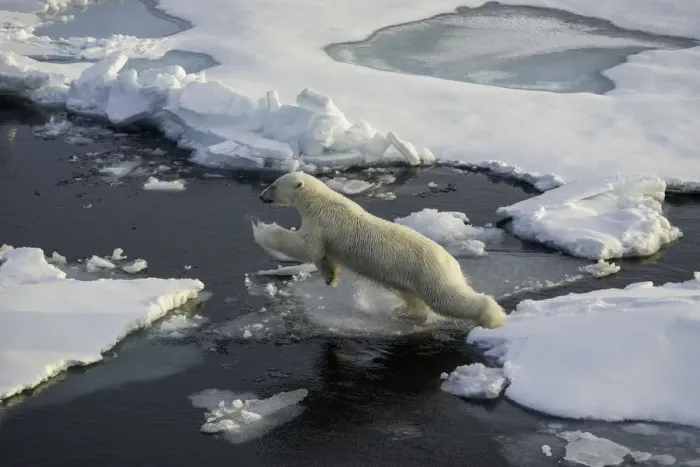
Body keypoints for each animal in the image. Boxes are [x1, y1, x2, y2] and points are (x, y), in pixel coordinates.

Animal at [254, 171, 507, 329]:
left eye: (273, 185)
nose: (260, 196)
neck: (320, 202)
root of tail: (452, 262)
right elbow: (320, 254)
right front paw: (330, 277)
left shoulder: (324, 223)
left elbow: (306, 247)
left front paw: (262, 229)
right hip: (411, 277)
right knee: (413, 296)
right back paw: (403, 311)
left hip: (429, 273)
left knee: (448, 298)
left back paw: (493, 318)